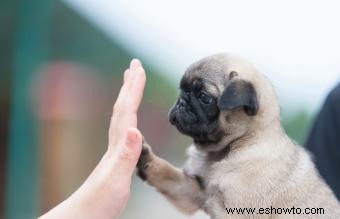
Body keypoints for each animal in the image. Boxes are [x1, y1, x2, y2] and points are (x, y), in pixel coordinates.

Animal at [135, 54, 340, 218]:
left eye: (204, 97)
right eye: (182, 89)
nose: (181, 102)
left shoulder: (232, 211)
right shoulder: (192, 190)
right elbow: (168, 175)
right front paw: (144, 157)